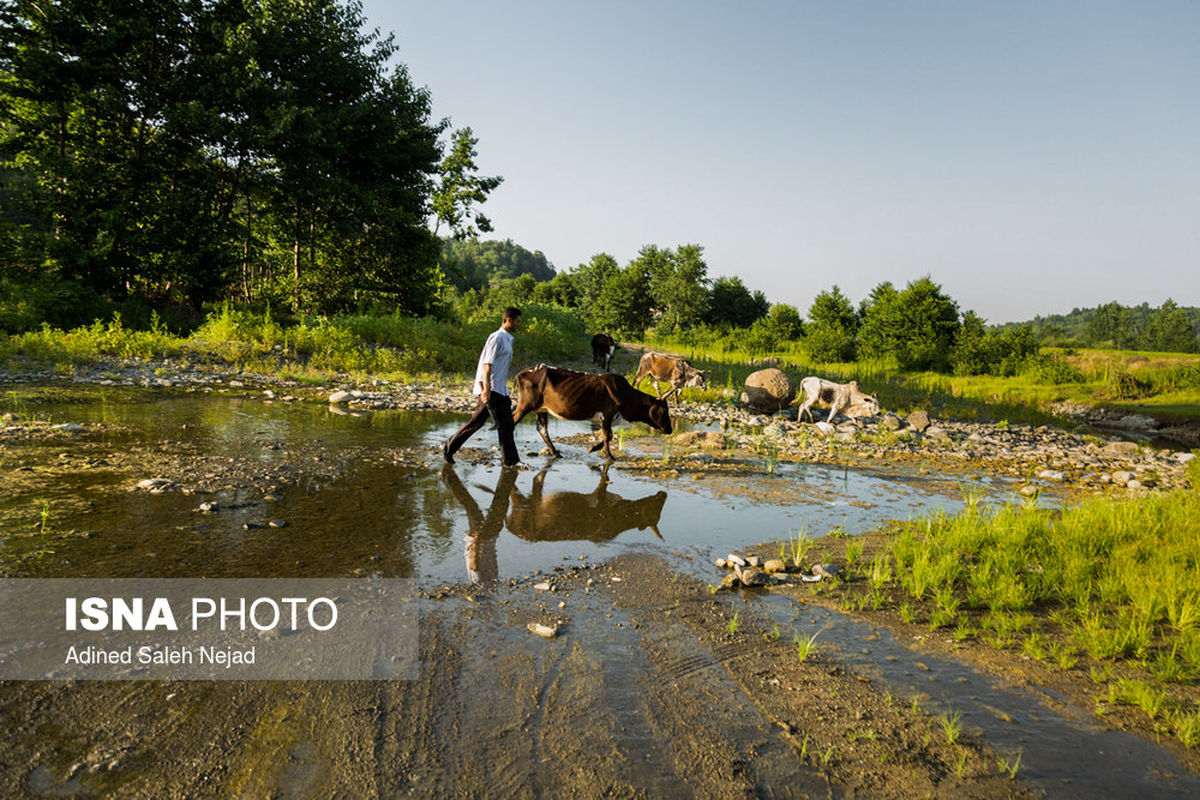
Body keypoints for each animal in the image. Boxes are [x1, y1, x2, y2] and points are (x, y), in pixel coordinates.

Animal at [508, 364, 672, 460]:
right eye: (664, 409)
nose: (670, 429)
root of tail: (522, 373)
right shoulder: (607, 415)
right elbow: (607, 436)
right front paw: (608, 455)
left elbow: (609, 435)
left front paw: (594, 448)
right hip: (525, 404)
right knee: (513, 421)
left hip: (542, 408)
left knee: (542, 429)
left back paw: (555, 452)